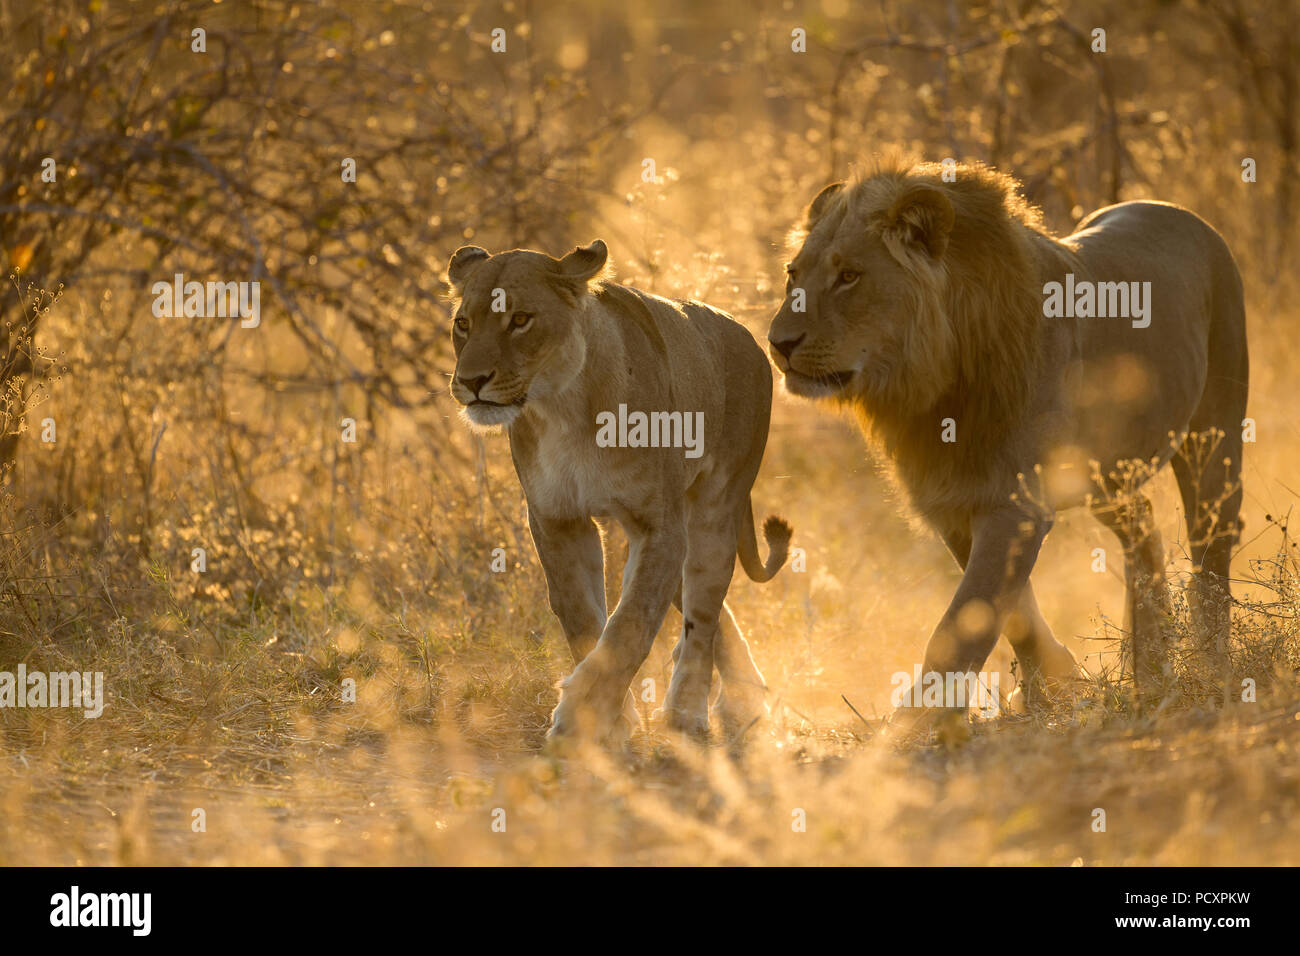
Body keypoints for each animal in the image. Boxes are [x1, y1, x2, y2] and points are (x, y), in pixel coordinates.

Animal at [446, 238, 791, 742]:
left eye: (520, 320)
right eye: (463, 324)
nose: (471, 382)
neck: (563, 407)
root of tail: (746, 334)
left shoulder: (659, 526)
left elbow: (631, 624)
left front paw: (579, 716)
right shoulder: (557, 519)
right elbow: (583, 619)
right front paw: (611, 716)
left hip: (714, 508)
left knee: (704, 617)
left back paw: (689, 711)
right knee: (708, 613)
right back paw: (745, 696)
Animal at [767, 160, 1248, 717]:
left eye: (849, 276)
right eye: (792, 275)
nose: (778, 343)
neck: (935, 386)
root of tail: (1182, 214)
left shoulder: (1014, 504)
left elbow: (963, 621)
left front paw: (914, 723)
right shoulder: (954, 500)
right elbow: (1011, 611)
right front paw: (1054, 683)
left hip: (1214, 440)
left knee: (1212, 547)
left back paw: (1209, 659)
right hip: (1105, 475)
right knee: (1143, 525)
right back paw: (1151, 662)